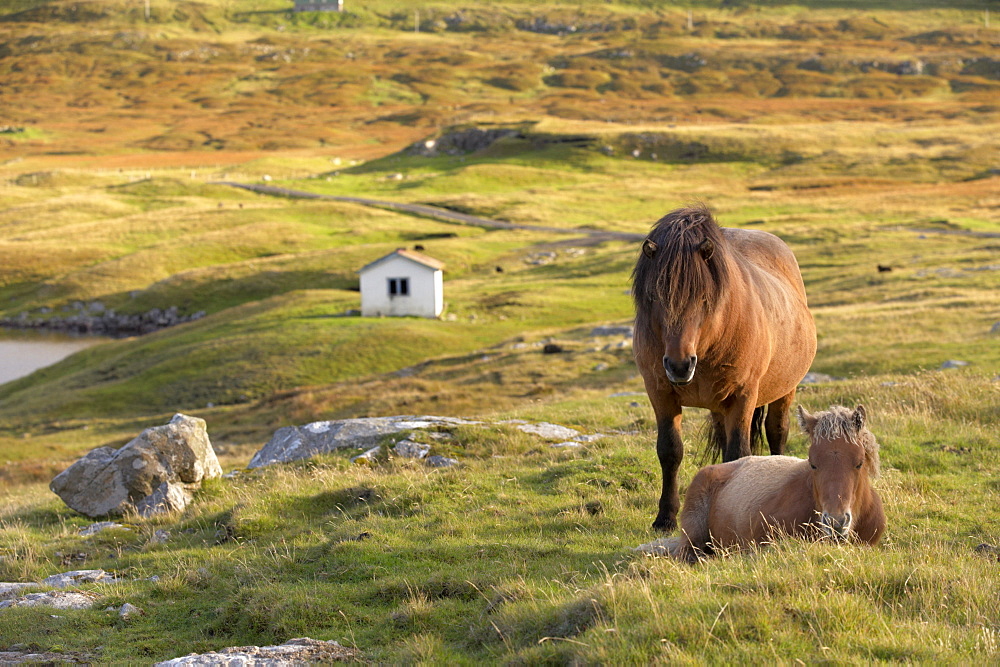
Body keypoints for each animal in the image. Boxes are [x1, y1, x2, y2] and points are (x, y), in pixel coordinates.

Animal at [632, 206, 820, 528]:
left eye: (704, 298)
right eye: (655, 298)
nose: (680, 366)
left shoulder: (742, 397)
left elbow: (738, 453)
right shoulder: (660, 393)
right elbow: (670, 451)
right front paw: (665, 517)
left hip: (785, 391)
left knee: (777, 433)